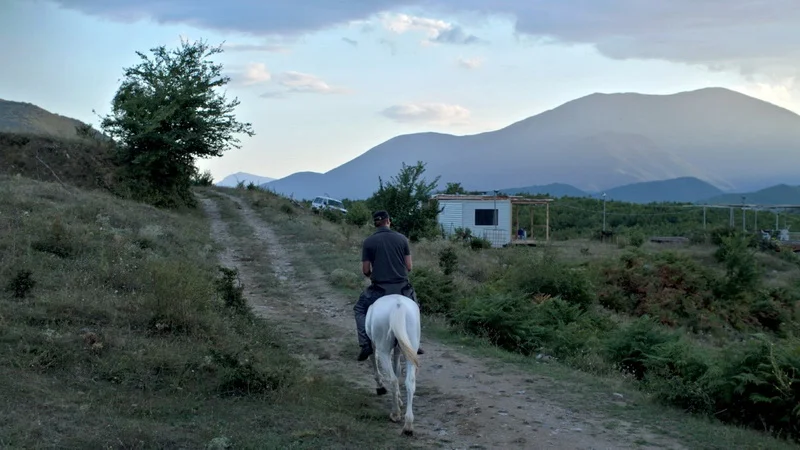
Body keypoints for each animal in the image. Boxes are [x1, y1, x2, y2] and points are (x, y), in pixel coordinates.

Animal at [366, 294, 422, 434]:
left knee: (393, 380)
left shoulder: (372, 343)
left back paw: (395, 414)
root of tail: (398, 305)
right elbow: (397, 368)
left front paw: (380, 387)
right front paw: (400, 398)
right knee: (409, 382)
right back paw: (408, 425)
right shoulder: (398, 349)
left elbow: (373, 359)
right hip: (411, 349)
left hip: (383, 350)